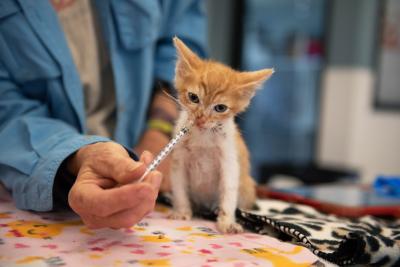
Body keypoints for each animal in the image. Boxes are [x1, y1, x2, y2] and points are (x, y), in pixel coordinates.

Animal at [167, 37, 274, 234]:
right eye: (193, 97)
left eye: (220, 108)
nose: (201, 118)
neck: (203, 136)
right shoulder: (178, 161)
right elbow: (179, 189)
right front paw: (182, 211)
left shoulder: (229, 162)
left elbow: (228, 192)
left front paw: (226, 221)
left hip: (247, 187)